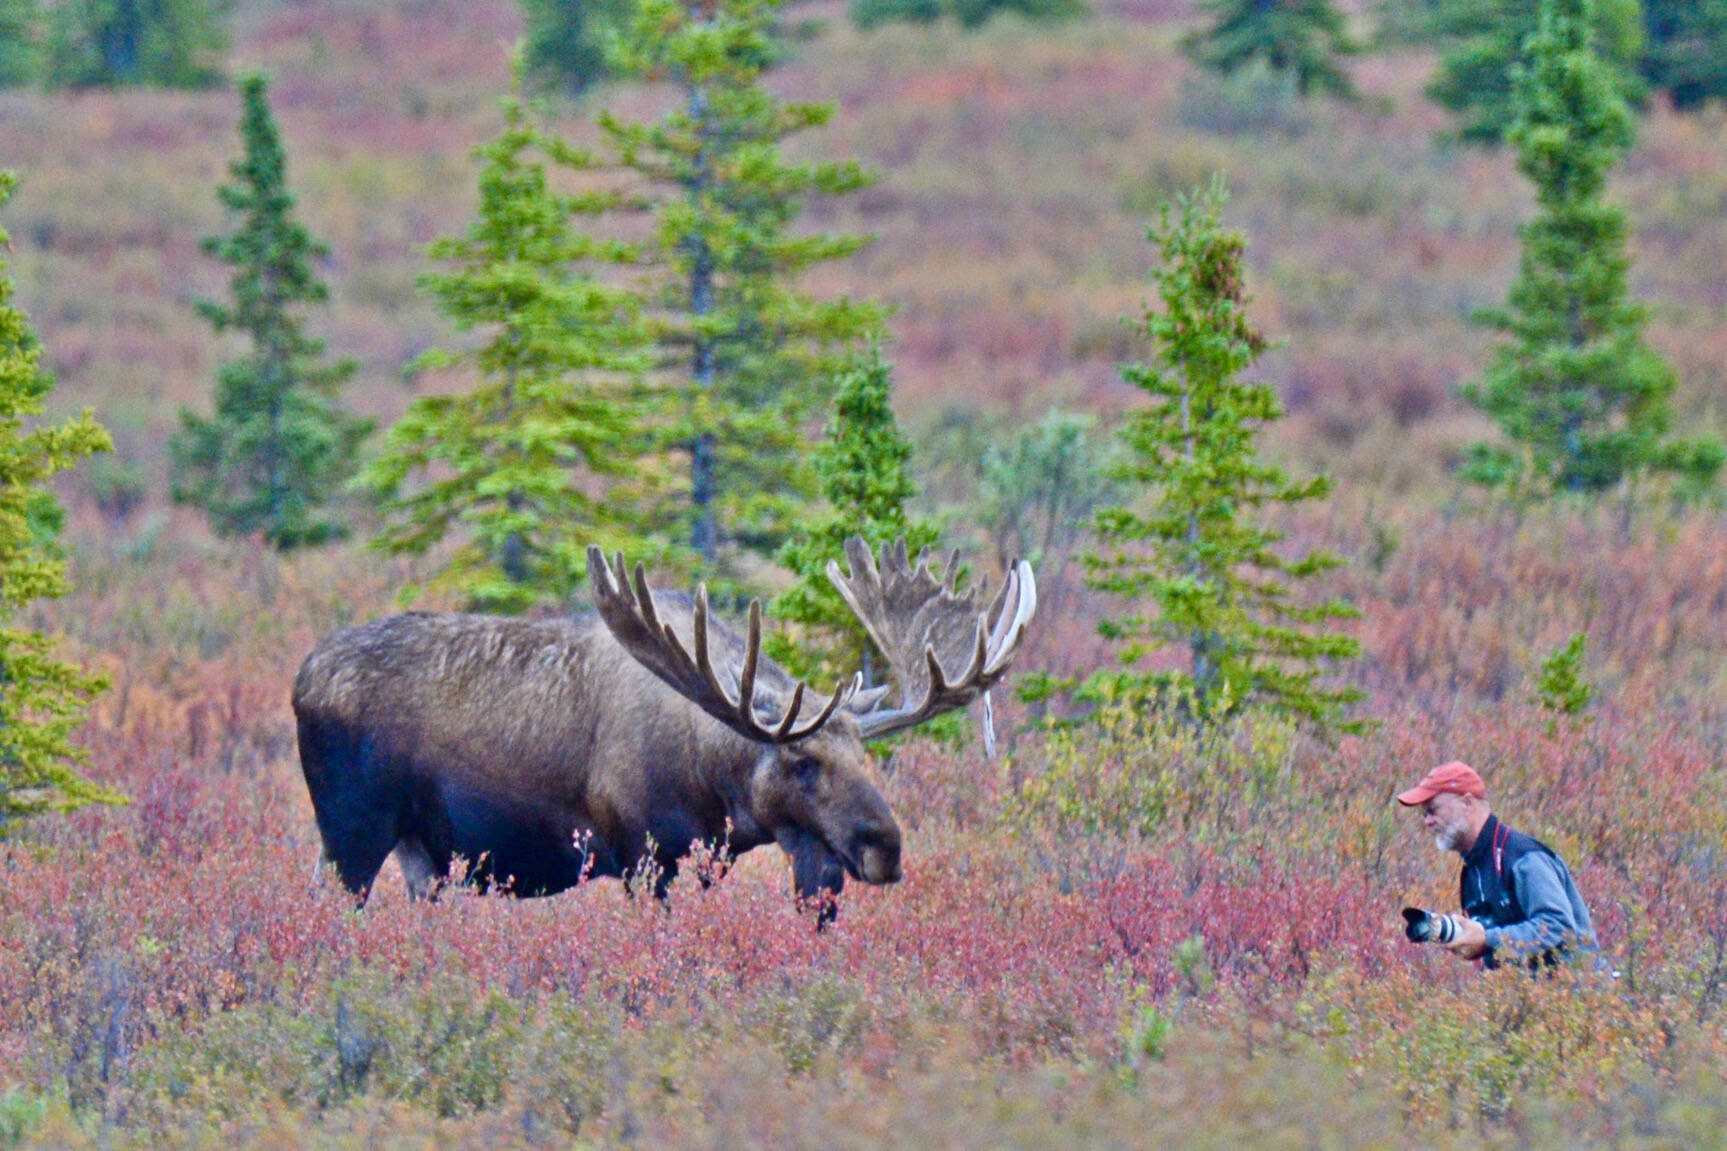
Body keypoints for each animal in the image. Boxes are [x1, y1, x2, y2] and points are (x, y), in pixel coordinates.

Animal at [293, 532, 1036, 912]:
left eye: (867, 757)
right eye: (802, 763)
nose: (884, 845)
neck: (714, 784)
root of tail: (300, 679)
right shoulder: (642, 855)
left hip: (421, 853)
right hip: (352, 836)